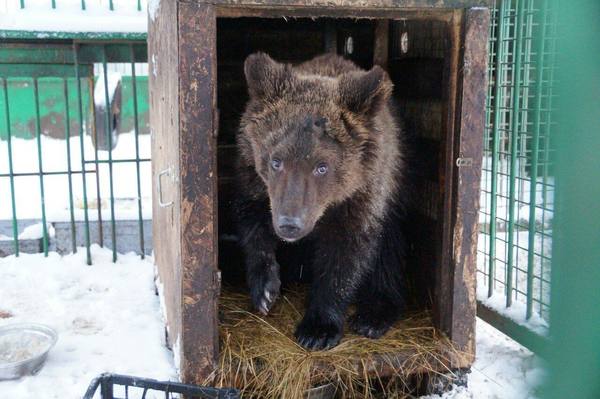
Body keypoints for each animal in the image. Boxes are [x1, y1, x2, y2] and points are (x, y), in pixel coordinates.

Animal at [234, 52, 408, 350]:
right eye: (276, 161)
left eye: (322, 167)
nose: (289, 224)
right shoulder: (253, 180)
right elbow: (252, 225)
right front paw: (266, 288)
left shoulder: (363, 195)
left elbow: (345, 255)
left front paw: (318, 329)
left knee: (391, 250)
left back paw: (374, 315)